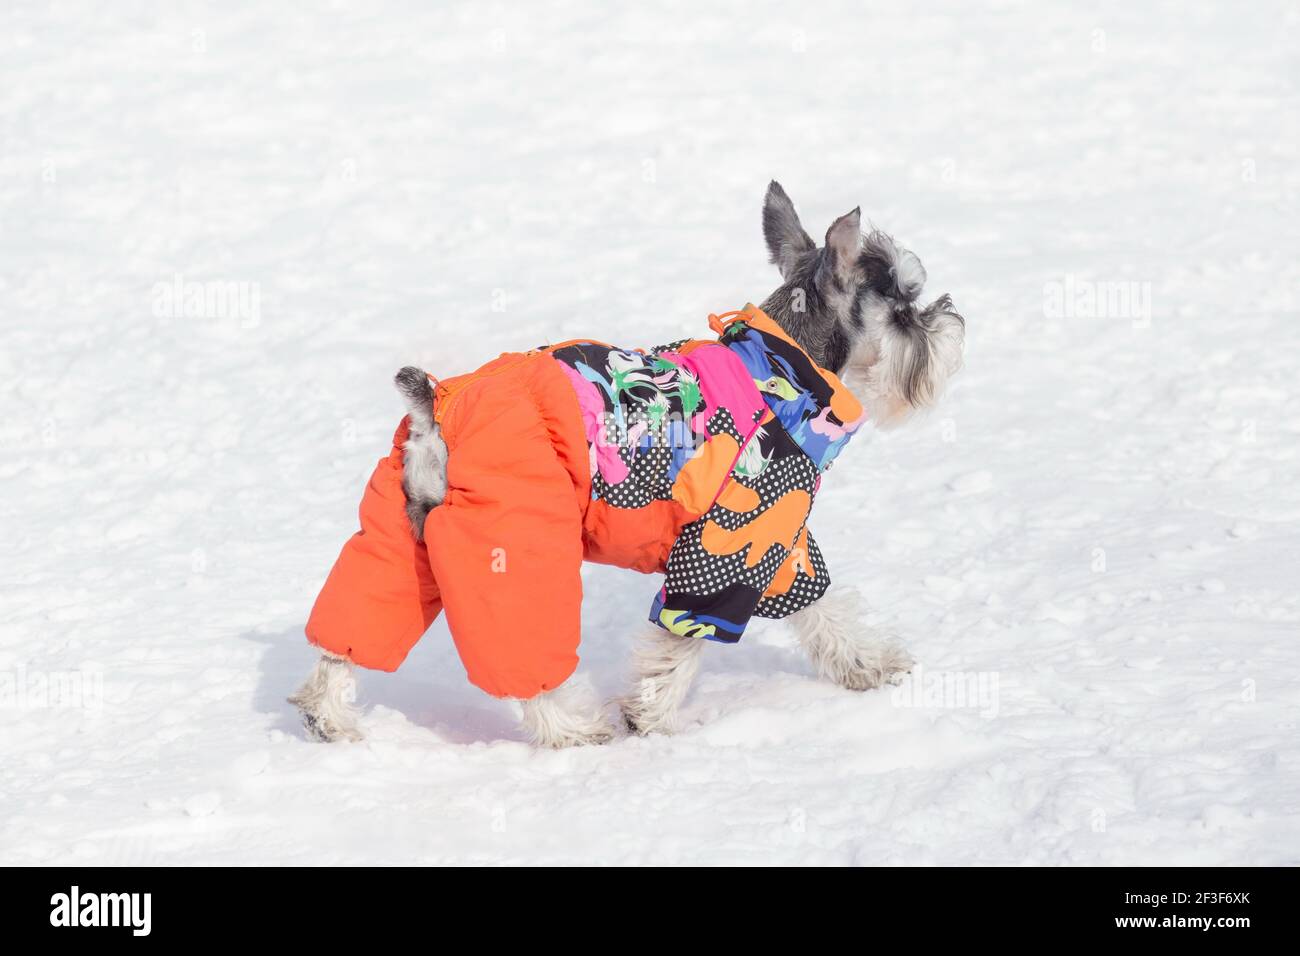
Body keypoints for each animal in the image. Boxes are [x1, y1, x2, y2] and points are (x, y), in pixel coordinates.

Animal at [295, 179, 967, 749]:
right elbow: (680, 641)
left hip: (399, 543)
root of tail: (437, 410)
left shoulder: (780, 541)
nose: (951, 321)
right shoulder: (727, 546)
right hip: (514, 546)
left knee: (345, 637)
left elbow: (820, 609)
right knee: (527, 663)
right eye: (903, 309)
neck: (785, 368)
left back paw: (328, 719)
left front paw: (868, 666)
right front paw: (650, 717)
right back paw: (575, 730)